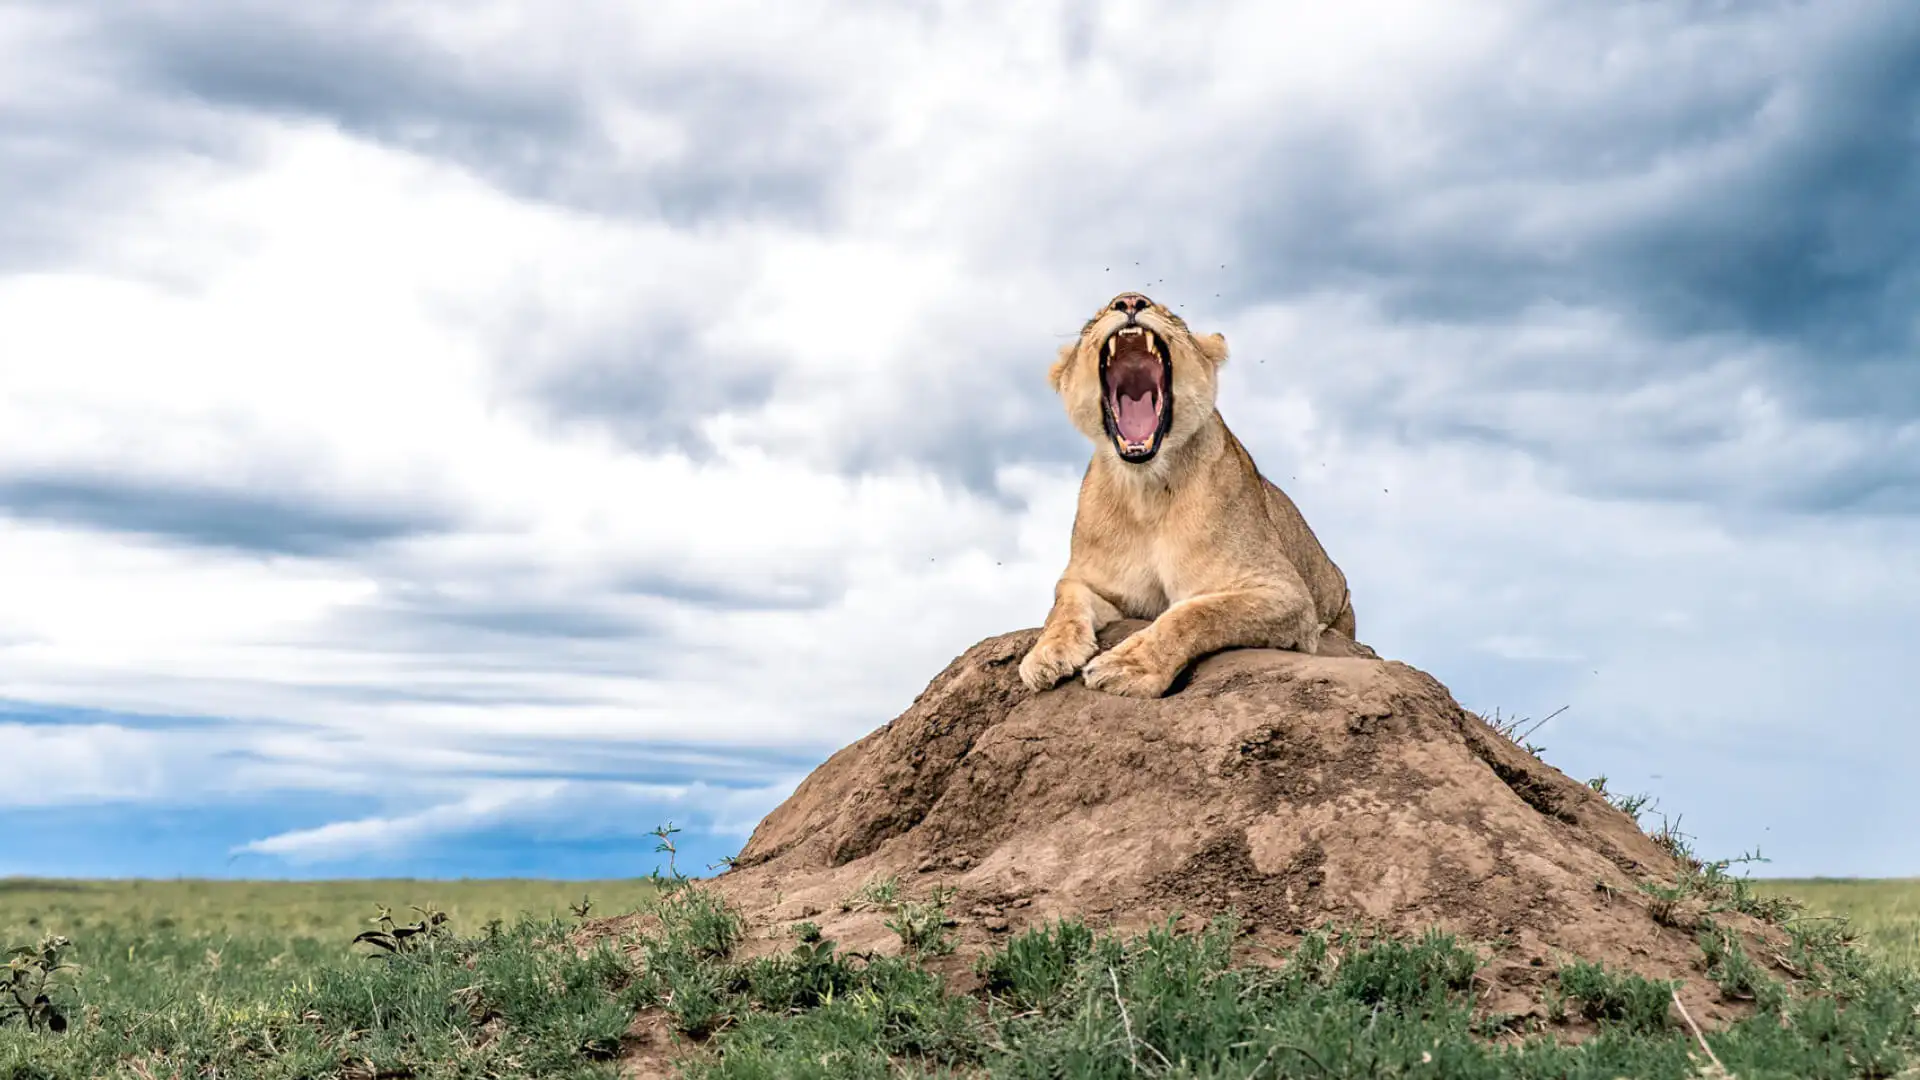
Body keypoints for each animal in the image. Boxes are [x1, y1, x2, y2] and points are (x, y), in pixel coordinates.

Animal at [1018, 291, 1356, 699]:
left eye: (1171, 314)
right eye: (1093, 319)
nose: (1129, 300)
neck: (1145, 489)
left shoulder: (1285, 593)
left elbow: (1195, 613)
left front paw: (1128, 665)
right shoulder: (1092, 582)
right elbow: (1063, 604)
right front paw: (1046, 655)